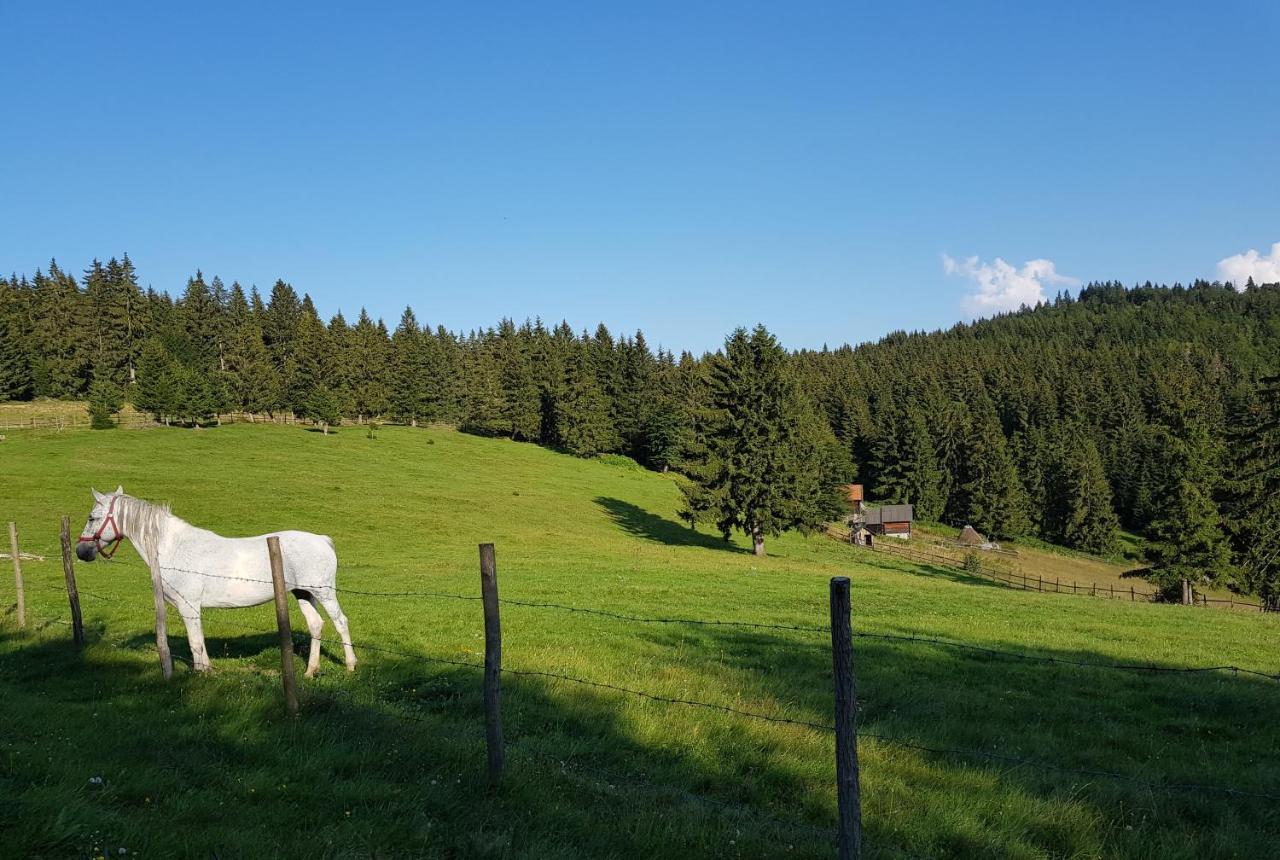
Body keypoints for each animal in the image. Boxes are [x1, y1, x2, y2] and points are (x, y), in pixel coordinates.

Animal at [76, 486, 355, 675]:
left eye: (92, 517)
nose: (81, 551)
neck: (174, 547)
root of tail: (322, 540)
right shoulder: (189, 607)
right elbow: (198, 639)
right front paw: (207, 670)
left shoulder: (188, 605)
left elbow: (194, 642)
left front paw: (200, 673)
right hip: (303, 593)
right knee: (316, 625)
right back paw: (310, 671)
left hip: (324, 592)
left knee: (340, 622)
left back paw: (351, 665)